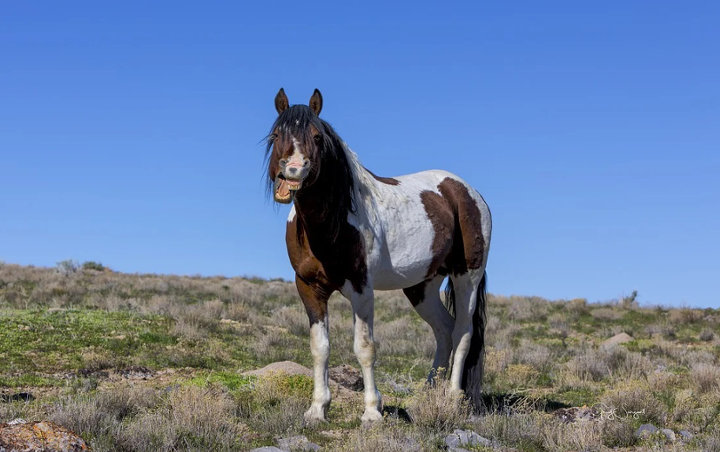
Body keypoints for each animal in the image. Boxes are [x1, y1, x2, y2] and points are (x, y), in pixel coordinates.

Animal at [268, 89, 492, 424]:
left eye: (317, 137)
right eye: (276, 134)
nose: (292, 172)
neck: (333, 222)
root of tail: (468, 192)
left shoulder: (362, 289)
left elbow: (365, 347)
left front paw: (372, 411)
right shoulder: (308, 287)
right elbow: (319, 347)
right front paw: (317, 409)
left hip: (467, 277)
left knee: (463, 332)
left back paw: (453, 399)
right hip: (421, 286)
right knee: (444, 331)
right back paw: (428, 397)